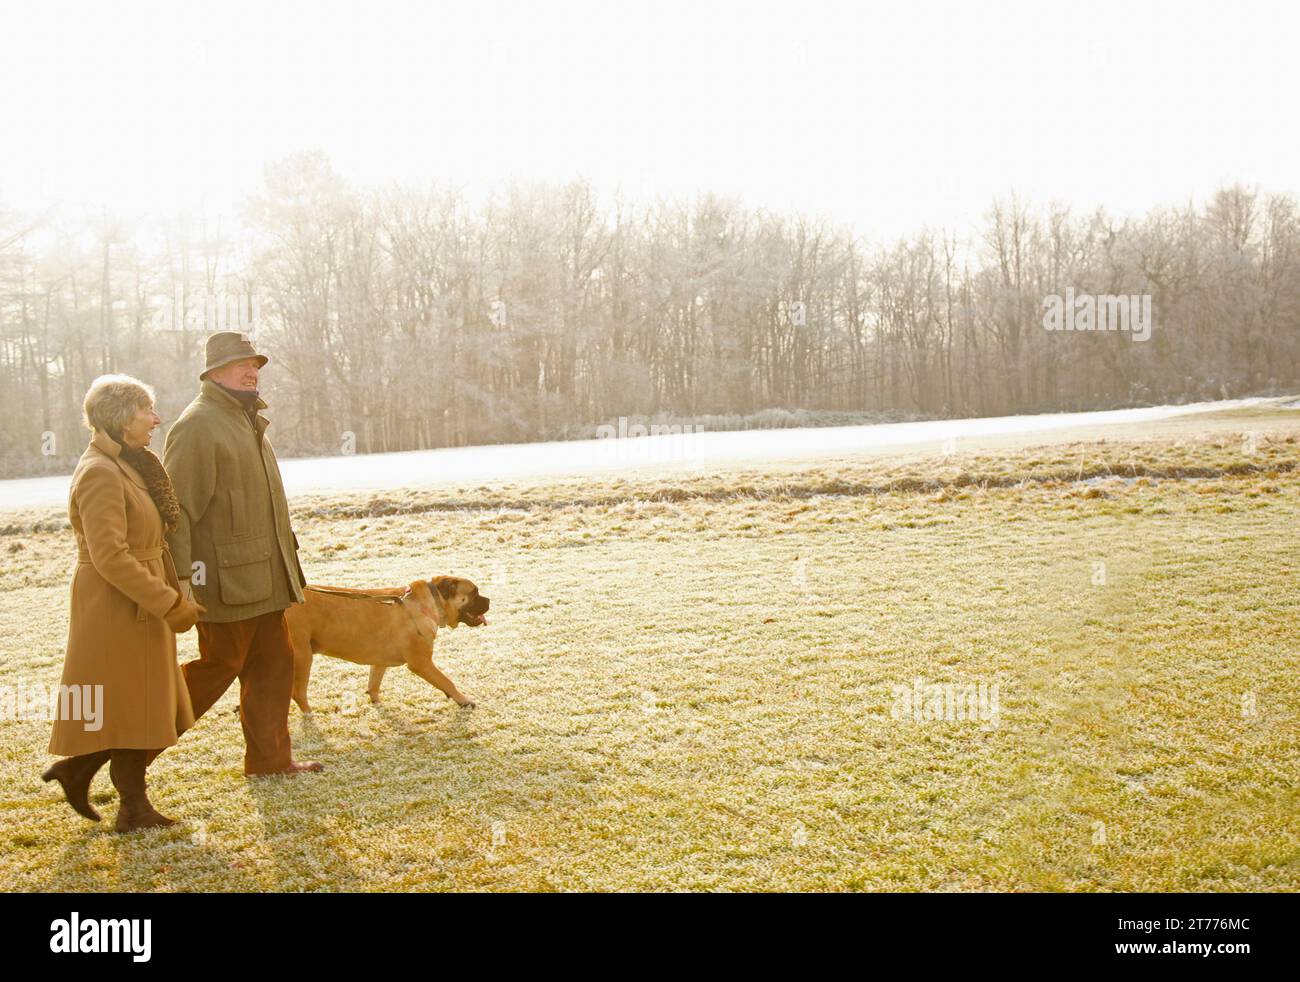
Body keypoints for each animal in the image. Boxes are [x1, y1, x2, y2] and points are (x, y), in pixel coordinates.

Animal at [283, 574, 488, 712]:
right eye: (474, 592)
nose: (489, 600)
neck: (429, 603)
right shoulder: (421, 662)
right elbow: (447, 681)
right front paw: (464, 700)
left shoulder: (379, 661)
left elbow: (374, 684)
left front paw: (377, 704)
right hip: (303, 655)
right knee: (297, 692)